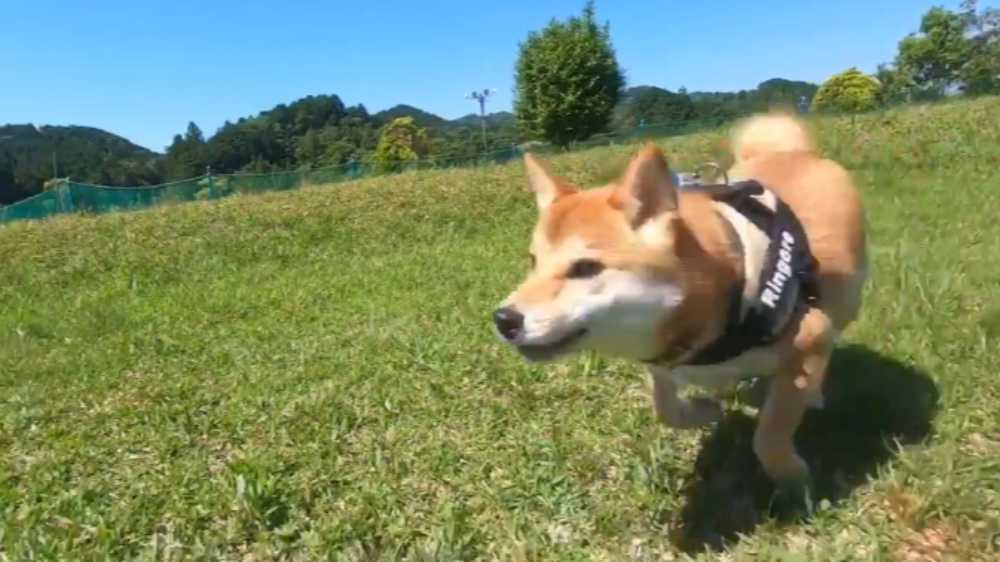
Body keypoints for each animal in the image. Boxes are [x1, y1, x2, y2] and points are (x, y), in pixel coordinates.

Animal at [492, 112, 868, 490]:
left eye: (585, 267)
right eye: (533, 262)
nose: (503, 319)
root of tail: (789, 153)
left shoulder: (809, 333)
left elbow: (770, 431)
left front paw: (792, 477)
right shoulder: (661, 363)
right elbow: (665, 409)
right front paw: (702, 410)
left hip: (844, 296)